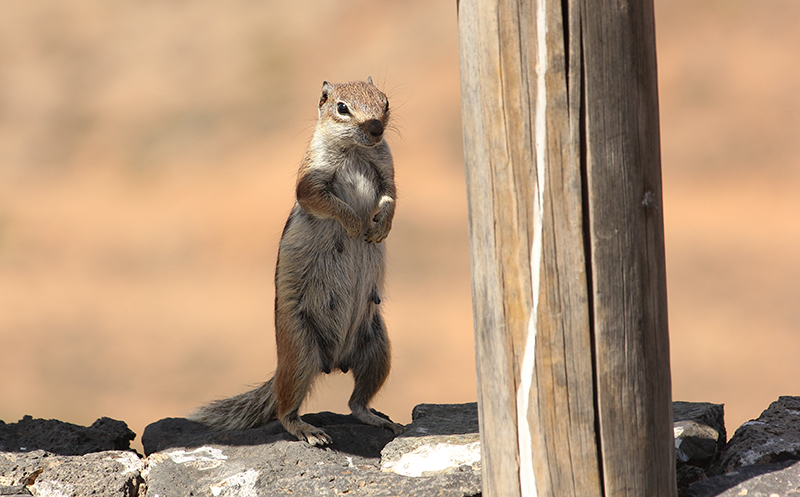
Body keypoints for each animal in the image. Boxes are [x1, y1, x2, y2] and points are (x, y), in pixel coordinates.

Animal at [190, 78, 404, 446]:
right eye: (342, 107)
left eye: (385, 102)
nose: (376, 128)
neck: (356, 152)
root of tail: (335, 361)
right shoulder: (312, 178)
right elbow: (322, 199)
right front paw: (354, 224)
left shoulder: (387, 170)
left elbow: (391, 197)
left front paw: (380, 227)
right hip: (299, 348)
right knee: (285, 408)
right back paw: (308, 431)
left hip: (378, 349)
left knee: (357, 402)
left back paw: (376, 419)